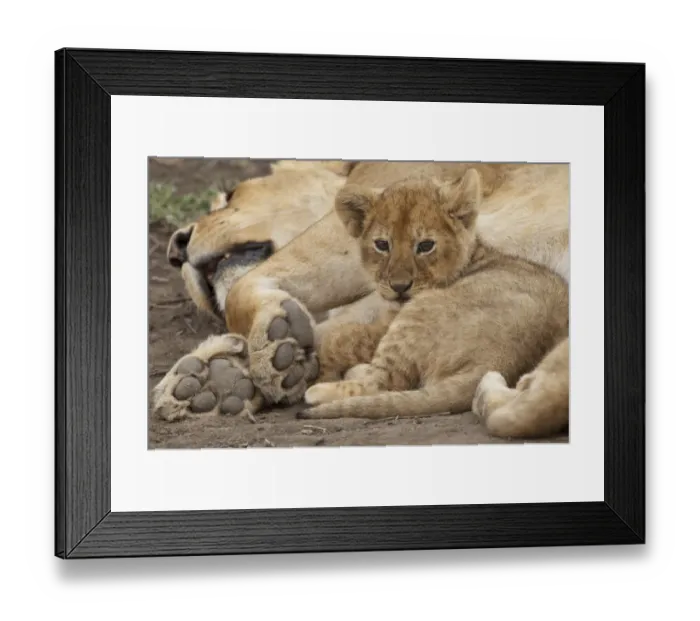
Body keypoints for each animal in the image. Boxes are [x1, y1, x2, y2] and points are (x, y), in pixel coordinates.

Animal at [152, 159, 570, 438]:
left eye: (231, 196)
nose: (176, 248)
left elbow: (244, 290)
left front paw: (276, 343)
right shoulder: (394, 292)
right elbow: (340, 332)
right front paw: (217, 379)